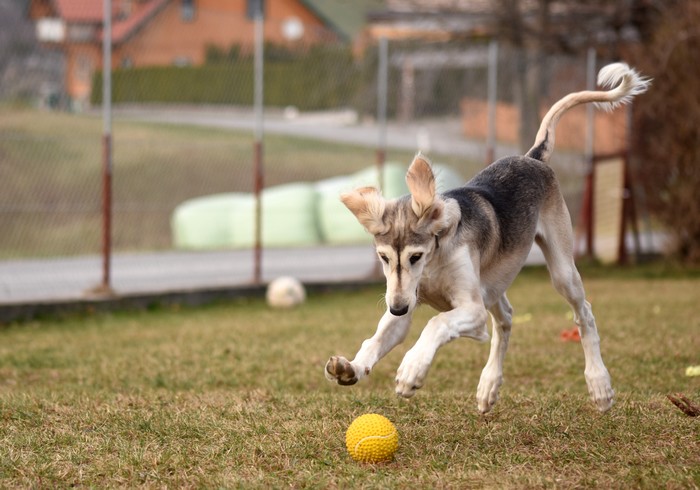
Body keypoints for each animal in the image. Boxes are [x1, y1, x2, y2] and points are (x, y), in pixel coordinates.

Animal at [326, 62, 648, 414]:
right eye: (383, 258)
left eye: (415, 256)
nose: (396, 307)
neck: (435, 261)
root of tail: (532, 157)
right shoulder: (411, 303)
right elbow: (376, 339)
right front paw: (352, 368)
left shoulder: (471, 310)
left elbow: (436, 324)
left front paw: (412, 371)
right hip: (493, 284)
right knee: (506, 318)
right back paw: (489, 385)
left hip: (561, 272)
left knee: (584, 313)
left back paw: (599, 385)